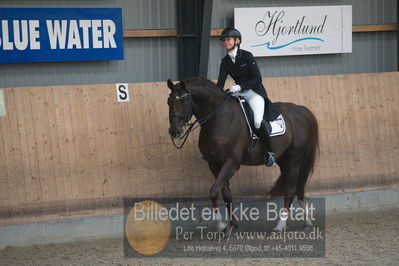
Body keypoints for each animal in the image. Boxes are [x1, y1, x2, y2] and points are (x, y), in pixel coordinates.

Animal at [166, 76, 318, 231]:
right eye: (169, 101)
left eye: (184, 100)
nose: (174, 131)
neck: (218, 118)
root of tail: (301, 109)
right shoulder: (214, 164)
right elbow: (225, 194)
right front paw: (232, 225)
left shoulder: (231, 163)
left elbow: (214, 191)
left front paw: (221, 225)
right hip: (284, 160)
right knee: (298, 188)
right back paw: (307, 222)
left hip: (295, 158)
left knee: (291, 190)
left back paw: (280, 226)